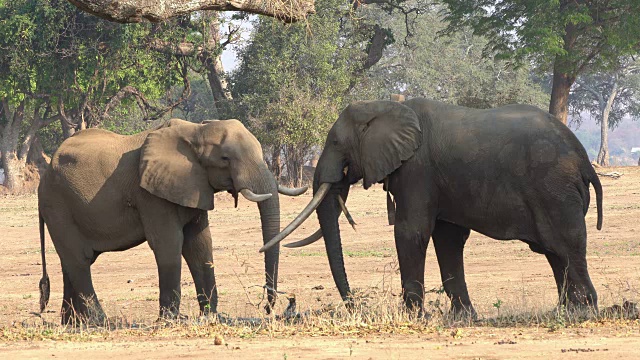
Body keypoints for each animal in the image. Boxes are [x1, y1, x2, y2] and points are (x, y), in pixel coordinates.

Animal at [37, 118, 308, 324]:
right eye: (225, 159)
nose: (269, 307)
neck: (196, 131)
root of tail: (44, 176)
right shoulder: (150, 194)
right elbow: (169, 244)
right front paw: (169, 320)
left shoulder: (193, 186)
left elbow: (200, 244)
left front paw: (212, 317)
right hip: (58, 205)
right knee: (79, 260)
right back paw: (99, 322)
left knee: (72, 262)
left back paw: (72, 323)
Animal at [262, 97, 604, 318]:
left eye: (335, 144)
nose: (353, 306)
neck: (386, 107)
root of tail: (583, 159)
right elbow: (447, 238)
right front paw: (463, 318)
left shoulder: (417, 170)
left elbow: (411, 232)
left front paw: (413, 317)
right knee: (554, 252)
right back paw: (564, 310)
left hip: (553, 187)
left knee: (565, 245)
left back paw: (582, 311)